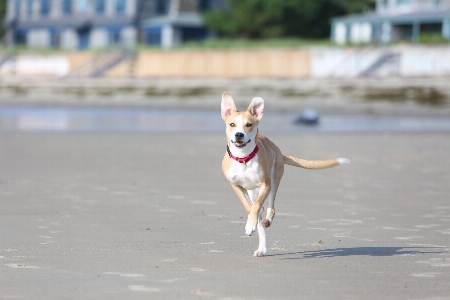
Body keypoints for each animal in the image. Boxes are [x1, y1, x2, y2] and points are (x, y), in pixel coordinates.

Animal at [221, 92, 352, 256]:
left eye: (249, 125)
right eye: (232, 124)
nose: (239, 135)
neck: (244, 158)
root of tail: (278, 151)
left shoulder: (265, 184)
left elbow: (257, 206)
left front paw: (251, 223)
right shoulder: (235, 185)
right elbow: (250, 207)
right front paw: (252, 223)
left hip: (274, 179)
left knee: (271, 207)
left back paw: (267, 221)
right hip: (253, 189)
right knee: (258, 208)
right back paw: (261, 247)